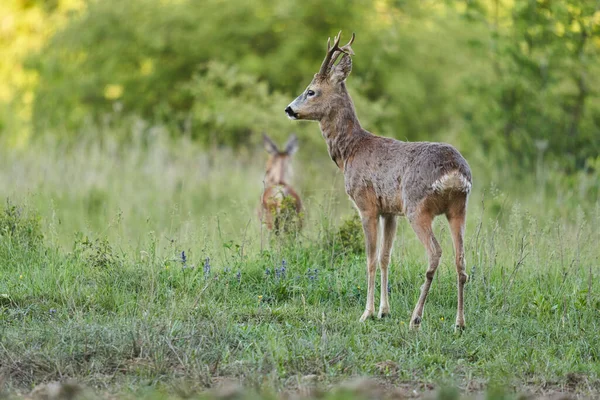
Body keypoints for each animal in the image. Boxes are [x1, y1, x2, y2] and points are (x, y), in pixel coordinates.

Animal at [286, 32, 474, 332]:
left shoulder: (367, 206)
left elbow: (371, 259)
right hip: (459, 208)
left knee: (435, 253)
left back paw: (416, 318)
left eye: (311, 90)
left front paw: (368, 312)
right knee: (461, 260)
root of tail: (454, 171)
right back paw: (459, 322)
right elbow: (386, 257)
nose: (289, 109)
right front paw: (385, 310)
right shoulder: (390, 211)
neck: (350, 151)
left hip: (417, 208)